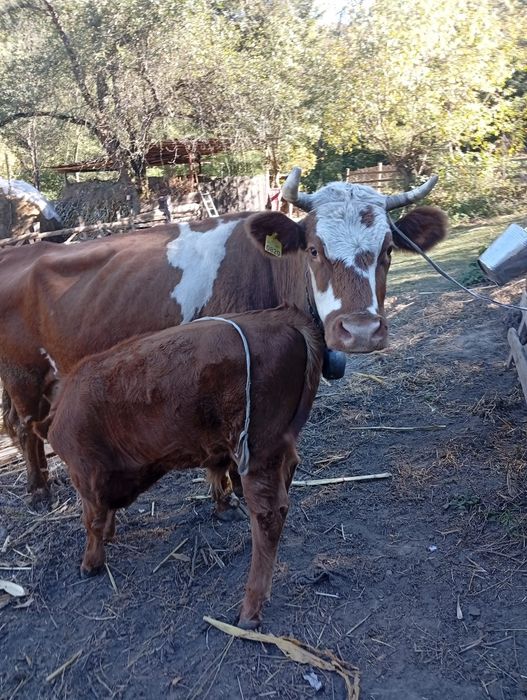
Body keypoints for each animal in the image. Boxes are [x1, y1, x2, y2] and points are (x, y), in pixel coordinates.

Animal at [0, 167, 447, 512]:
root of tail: (18, 252)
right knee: (27, 427)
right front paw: (231, 494)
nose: (361, 331)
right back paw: (39, 492)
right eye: (314, 250)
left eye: (388, 250)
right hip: (23, 372)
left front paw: (223, 495)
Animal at [41, 306, 324, 629]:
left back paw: (250, 610)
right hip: (276, 446)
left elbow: (92, 520)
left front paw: (90, 563)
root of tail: (280, 318)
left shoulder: (85, 474)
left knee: (268, 517)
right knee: (287, 474)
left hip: (257, 453)